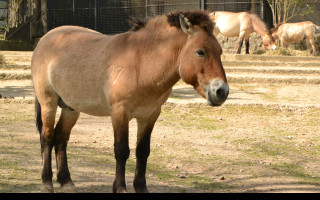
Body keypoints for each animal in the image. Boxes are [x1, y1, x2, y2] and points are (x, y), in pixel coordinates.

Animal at [30, 10, 230, 192]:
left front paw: (141, 187)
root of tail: (45, 38)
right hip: (48, 102)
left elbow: (143, 151)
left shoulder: (150, 115)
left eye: (220, 52)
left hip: (71, 108)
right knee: (48, 137)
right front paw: (120, 188)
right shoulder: (120, 113)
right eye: (200, 52)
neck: (141, 64)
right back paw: (47, 182)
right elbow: (121, 150)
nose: (222, 91)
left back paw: (66, 181)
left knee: (61, 137)